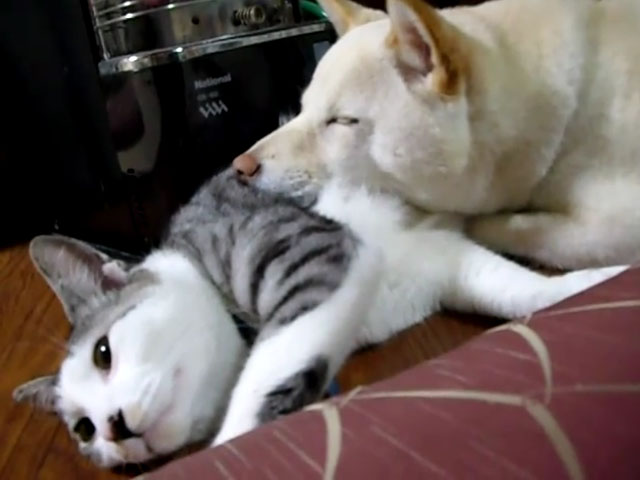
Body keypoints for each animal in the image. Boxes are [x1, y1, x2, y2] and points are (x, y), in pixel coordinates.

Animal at [13, 169, 625, 467]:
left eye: (103, 352)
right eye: (83, 430)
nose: (113, 428)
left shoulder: (315, 255)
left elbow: (254, 396)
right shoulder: (436, 257)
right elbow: (515, 289)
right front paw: (592, 285)